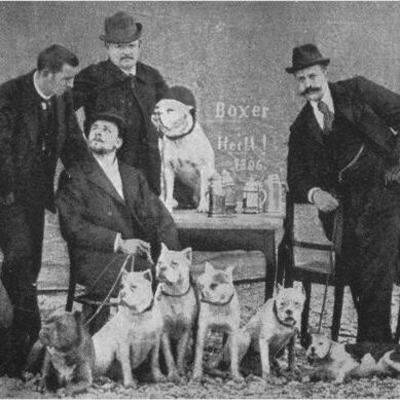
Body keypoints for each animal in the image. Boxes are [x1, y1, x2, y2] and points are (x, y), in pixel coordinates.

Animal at [151, 86, 216, 214]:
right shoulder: (168, 169)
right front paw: (168, 206)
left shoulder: (204, 169)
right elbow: (169, 189)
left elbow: (204, 189)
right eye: (157, 107)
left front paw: (203, 206)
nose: (157, 112)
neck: (179, 138)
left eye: (170, 110)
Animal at [155, 242, 198, 382]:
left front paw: (181, 372)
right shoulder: (164, 331)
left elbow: (181, 354)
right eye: (159, 262)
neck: (174, 294)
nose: (162, 268)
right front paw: (173, 374)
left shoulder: (186, 329)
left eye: (174, 263)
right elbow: (169, 355)